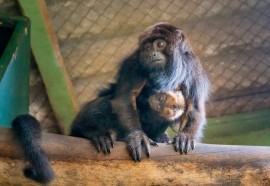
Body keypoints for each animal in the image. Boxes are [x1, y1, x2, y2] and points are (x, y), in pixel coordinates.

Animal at [70, 21, 210, 161]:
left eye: (160, 44)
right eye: (147, 48)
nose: (151, 54)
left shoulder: (194, 67)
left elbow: (194, 106)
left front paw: (186, 136)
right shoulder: (133, 64)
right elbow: (125, 98)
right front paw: (138, 136)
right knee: (105, 104)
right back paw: (93, 133)